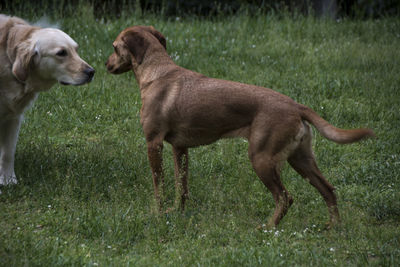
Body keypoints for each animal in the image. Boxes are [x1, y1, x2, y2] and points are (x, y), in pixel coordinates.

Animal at [106, 26, 376, 228]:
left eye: (114, 47)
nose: (105, 65)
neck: (156, 72)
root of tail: (296, 105)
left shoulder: (154, 143)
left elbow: (158, 186)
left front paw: (157, 213)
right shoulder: (180, 148)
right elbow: (181, 186)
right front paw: (177, 213)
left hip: (261, 158)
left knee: (285, 197)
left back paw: (268, 227)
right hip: (301, 159)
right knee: (328, 190)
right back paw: (334, 228)